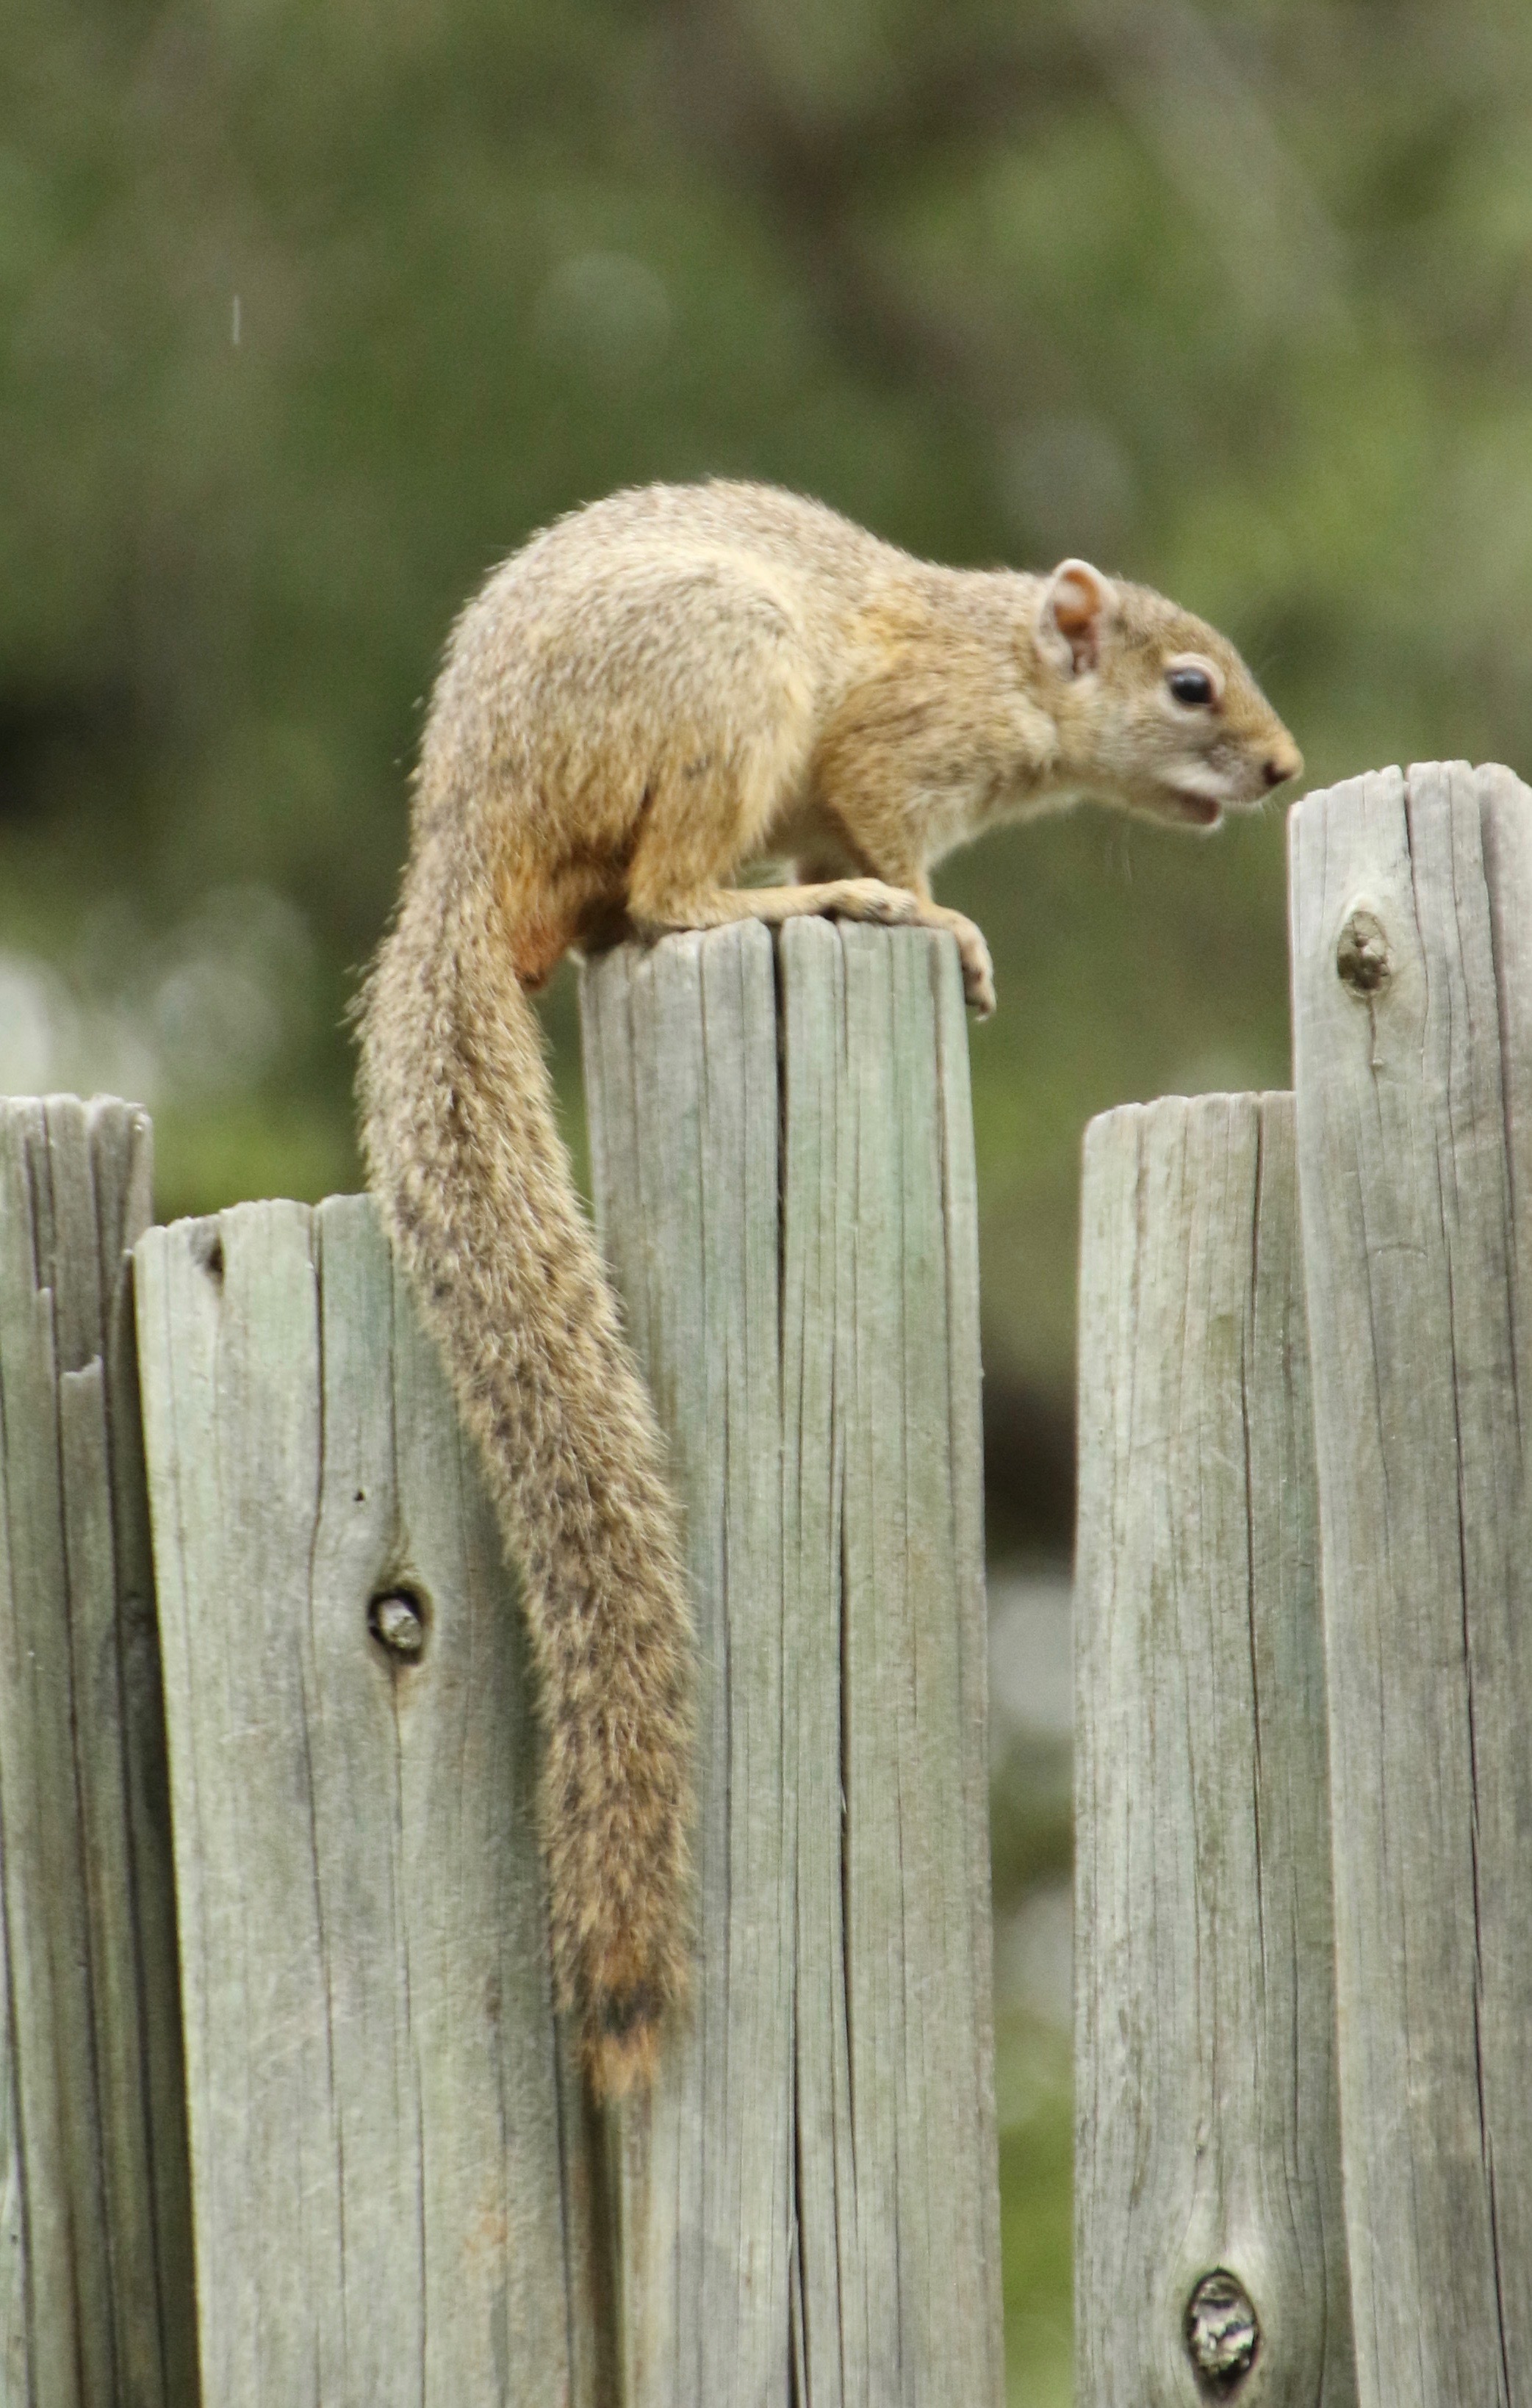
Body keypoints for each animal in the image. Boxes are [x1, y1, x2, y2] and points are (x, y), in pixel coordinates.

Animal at [356, 479, 1291, 2099]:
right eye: (1188, 685)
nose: (1286, 768)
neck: (1003, 659)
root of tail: (467, 844)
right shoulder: (885, 753)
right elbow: (897, 848)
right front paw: (937, 922)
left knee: (621, 920)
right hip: (724, 690)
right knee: (667, 897)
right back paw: (830, 905)